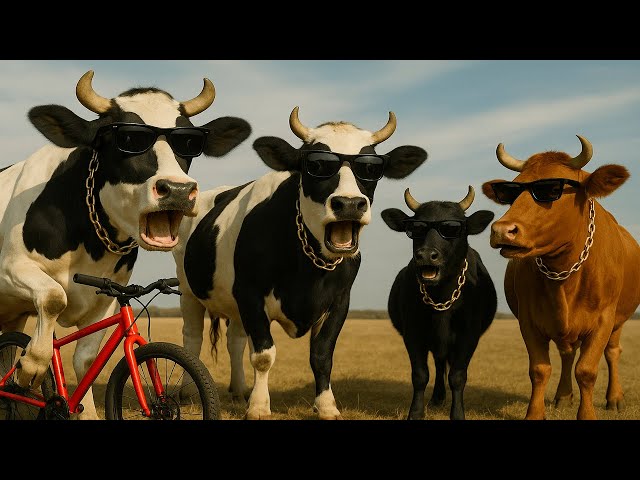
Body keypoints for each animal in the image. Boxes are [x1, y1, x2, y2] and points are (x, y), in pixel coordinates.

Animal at [0, 70, 251, 419]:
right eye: (128, 139)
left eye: (189, 142)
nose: (177, 190)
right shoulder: (11, 268)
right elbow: (53, 297)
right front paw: (31, 367)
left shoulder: (108, 292)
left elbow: (85, 360)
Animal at [172, 106, 428, 419]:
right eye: (315, 164)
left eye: (371, 168)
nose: (349, 204)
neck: (309, 274)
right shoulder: (250, 294)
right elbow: (263, 355)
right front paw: (259, 407)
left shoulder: (339, 300)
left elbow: (322, 356)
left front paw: (327, 406)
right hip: (188, 290)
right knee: (192, 338)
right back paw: (188, 391)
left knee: (236, 340)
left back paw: (240, 389)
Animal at [381, 186, 496, 420]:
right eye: (416, 227)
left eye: (453, 227)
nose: (426, 255)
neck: (441, 300)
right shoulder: (413, 333)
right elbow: (420, 375)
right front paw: (416, 412)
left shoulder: (468, 336)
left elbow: (458, 376)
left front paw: (458, 413)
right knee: (439, 364)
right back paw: (437, 398)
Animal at [481, 135, 640, 420]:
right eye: (513, 191)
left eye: (551, 190)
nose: (502, 230)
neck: (564, 275)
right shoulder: (528, 320)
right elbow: (540, 369)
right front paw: (535, 414)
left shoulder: (604, 320)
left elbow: (586, 370)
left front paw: (587, 414)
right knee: (567, 354)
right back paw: (563, 397)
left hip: (620, 320)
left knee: (612, 353)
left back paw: (615, 398)